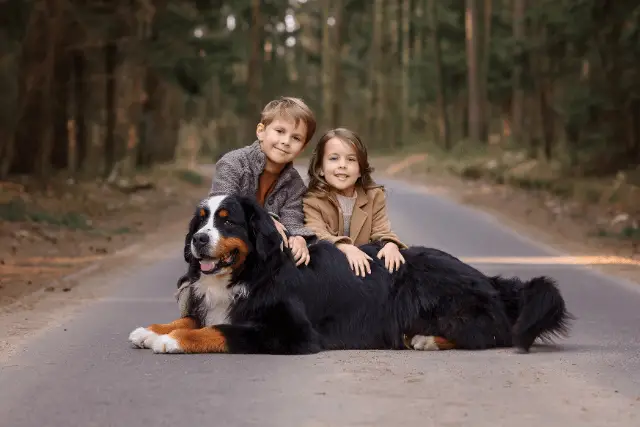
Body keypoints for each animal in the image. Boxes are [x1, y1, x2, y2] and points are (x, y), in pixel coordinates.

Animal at [127, 194, 572, 354]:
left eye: (227, 220)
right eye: (200, 220)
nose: (199, 240)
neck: (254, 271)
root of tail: (488, 280)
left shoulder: (290, 331)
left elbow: (217, 330)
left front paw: (171, 341)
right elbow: (195, 317)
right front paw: (152, 329)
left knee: (491, 333)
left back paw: (426, 339)